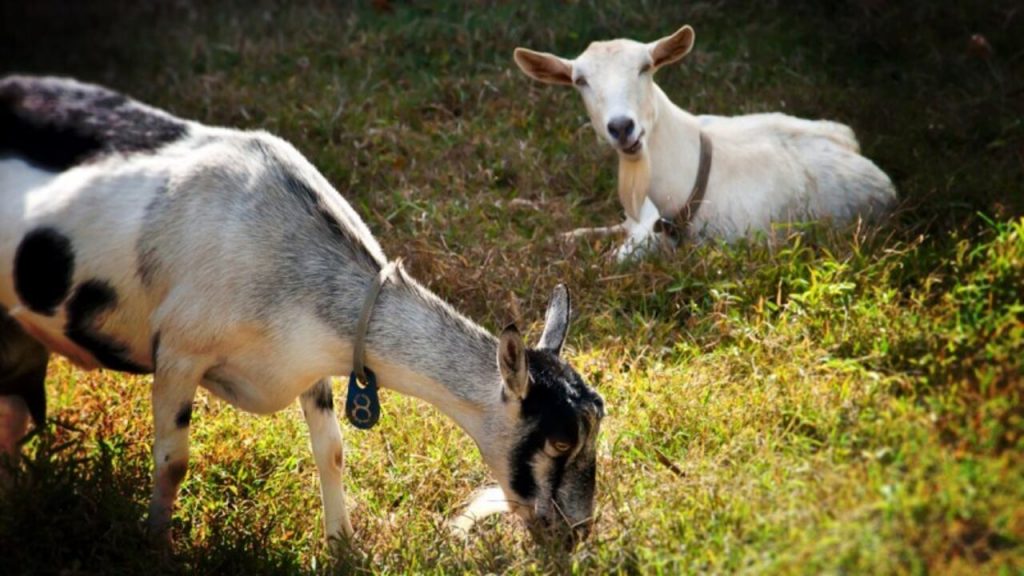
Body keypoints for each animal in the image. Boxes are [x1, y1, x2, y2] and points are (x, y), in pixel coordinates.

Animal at [0, 76, 602, 545]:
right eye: (560, 440)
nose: (576, 532)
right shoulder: (178, 350)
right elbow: (173, 464)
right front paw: (156, 547)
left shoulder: (313, 362)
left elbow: (331, 451)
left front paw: (344, 547)